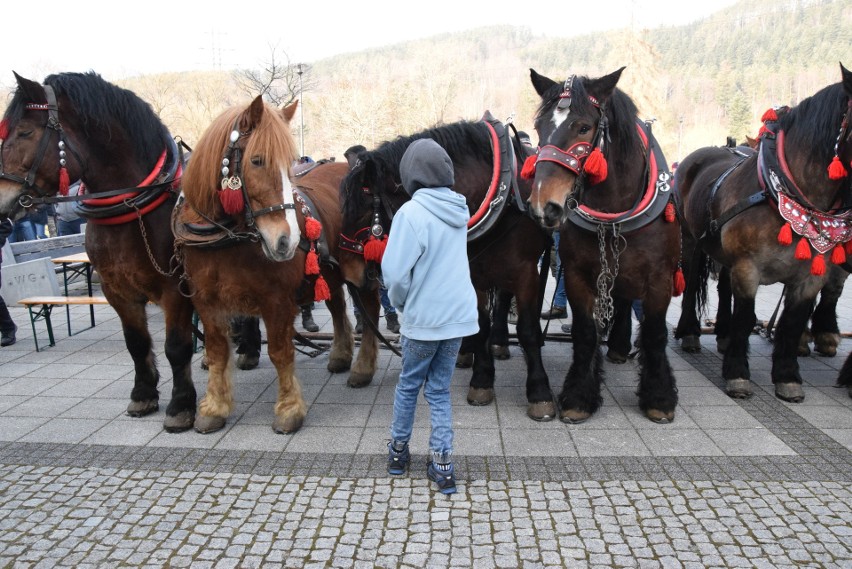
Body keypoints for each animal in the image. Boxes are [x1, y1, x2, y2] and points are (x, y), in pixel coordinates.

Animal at [0, 73, 196, 432]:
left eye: (24, 132)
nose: (1, 199)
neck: (133, 207)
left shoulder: (175, 287)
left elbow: (177, 346)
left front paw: (181, 405)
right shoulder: (115, 288)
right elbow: (136, 343)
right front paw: (143, 393)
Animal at [173, 97, 376, 432]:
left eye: (291, 163)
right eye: (257, 161)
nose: (286, 240)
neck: (224, 238)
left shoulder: (276, 300)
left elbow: (280, 352)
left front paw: (289, 409)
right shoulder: (206, 301)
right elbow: (217, 352)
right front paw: (214, 407)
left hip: (364, 263)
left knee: (370, 306)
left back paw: (363, 368)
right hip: (328, 271)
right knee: (336, 306)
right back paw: (341, 354)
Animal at [340, 114, 560, 418]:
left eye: (362, 213)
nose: (349, 274)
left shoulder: (526, 272)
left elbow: (527, 329)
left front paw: (539, 391)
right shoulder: (475, 273)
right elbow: (480, 324)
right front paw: (482, 379)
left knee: (504, 298)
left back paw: (501, 342)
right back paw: (469, 351)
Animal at [524, 67, 684, 422]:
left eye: (584, 126)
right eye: (539, 127)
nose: (544, 206)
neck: (614, 211)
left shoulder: (660, 279)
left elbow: (655, 333)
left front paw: (659, 397)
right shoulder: (577, 275)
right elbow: (585, 333)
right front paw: (578, 396)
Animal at [672, 63, 852, 400]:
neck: (786, 192)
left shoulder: (811, 275)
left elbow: (792, 322)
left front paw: (788, 376)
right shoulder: (748, 267)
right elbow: (745, 318)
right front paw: (737, 374)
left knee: (723, 288)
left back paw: (723, 334)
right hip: (690, 240)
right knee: (690, 283)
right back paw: (690, 332)